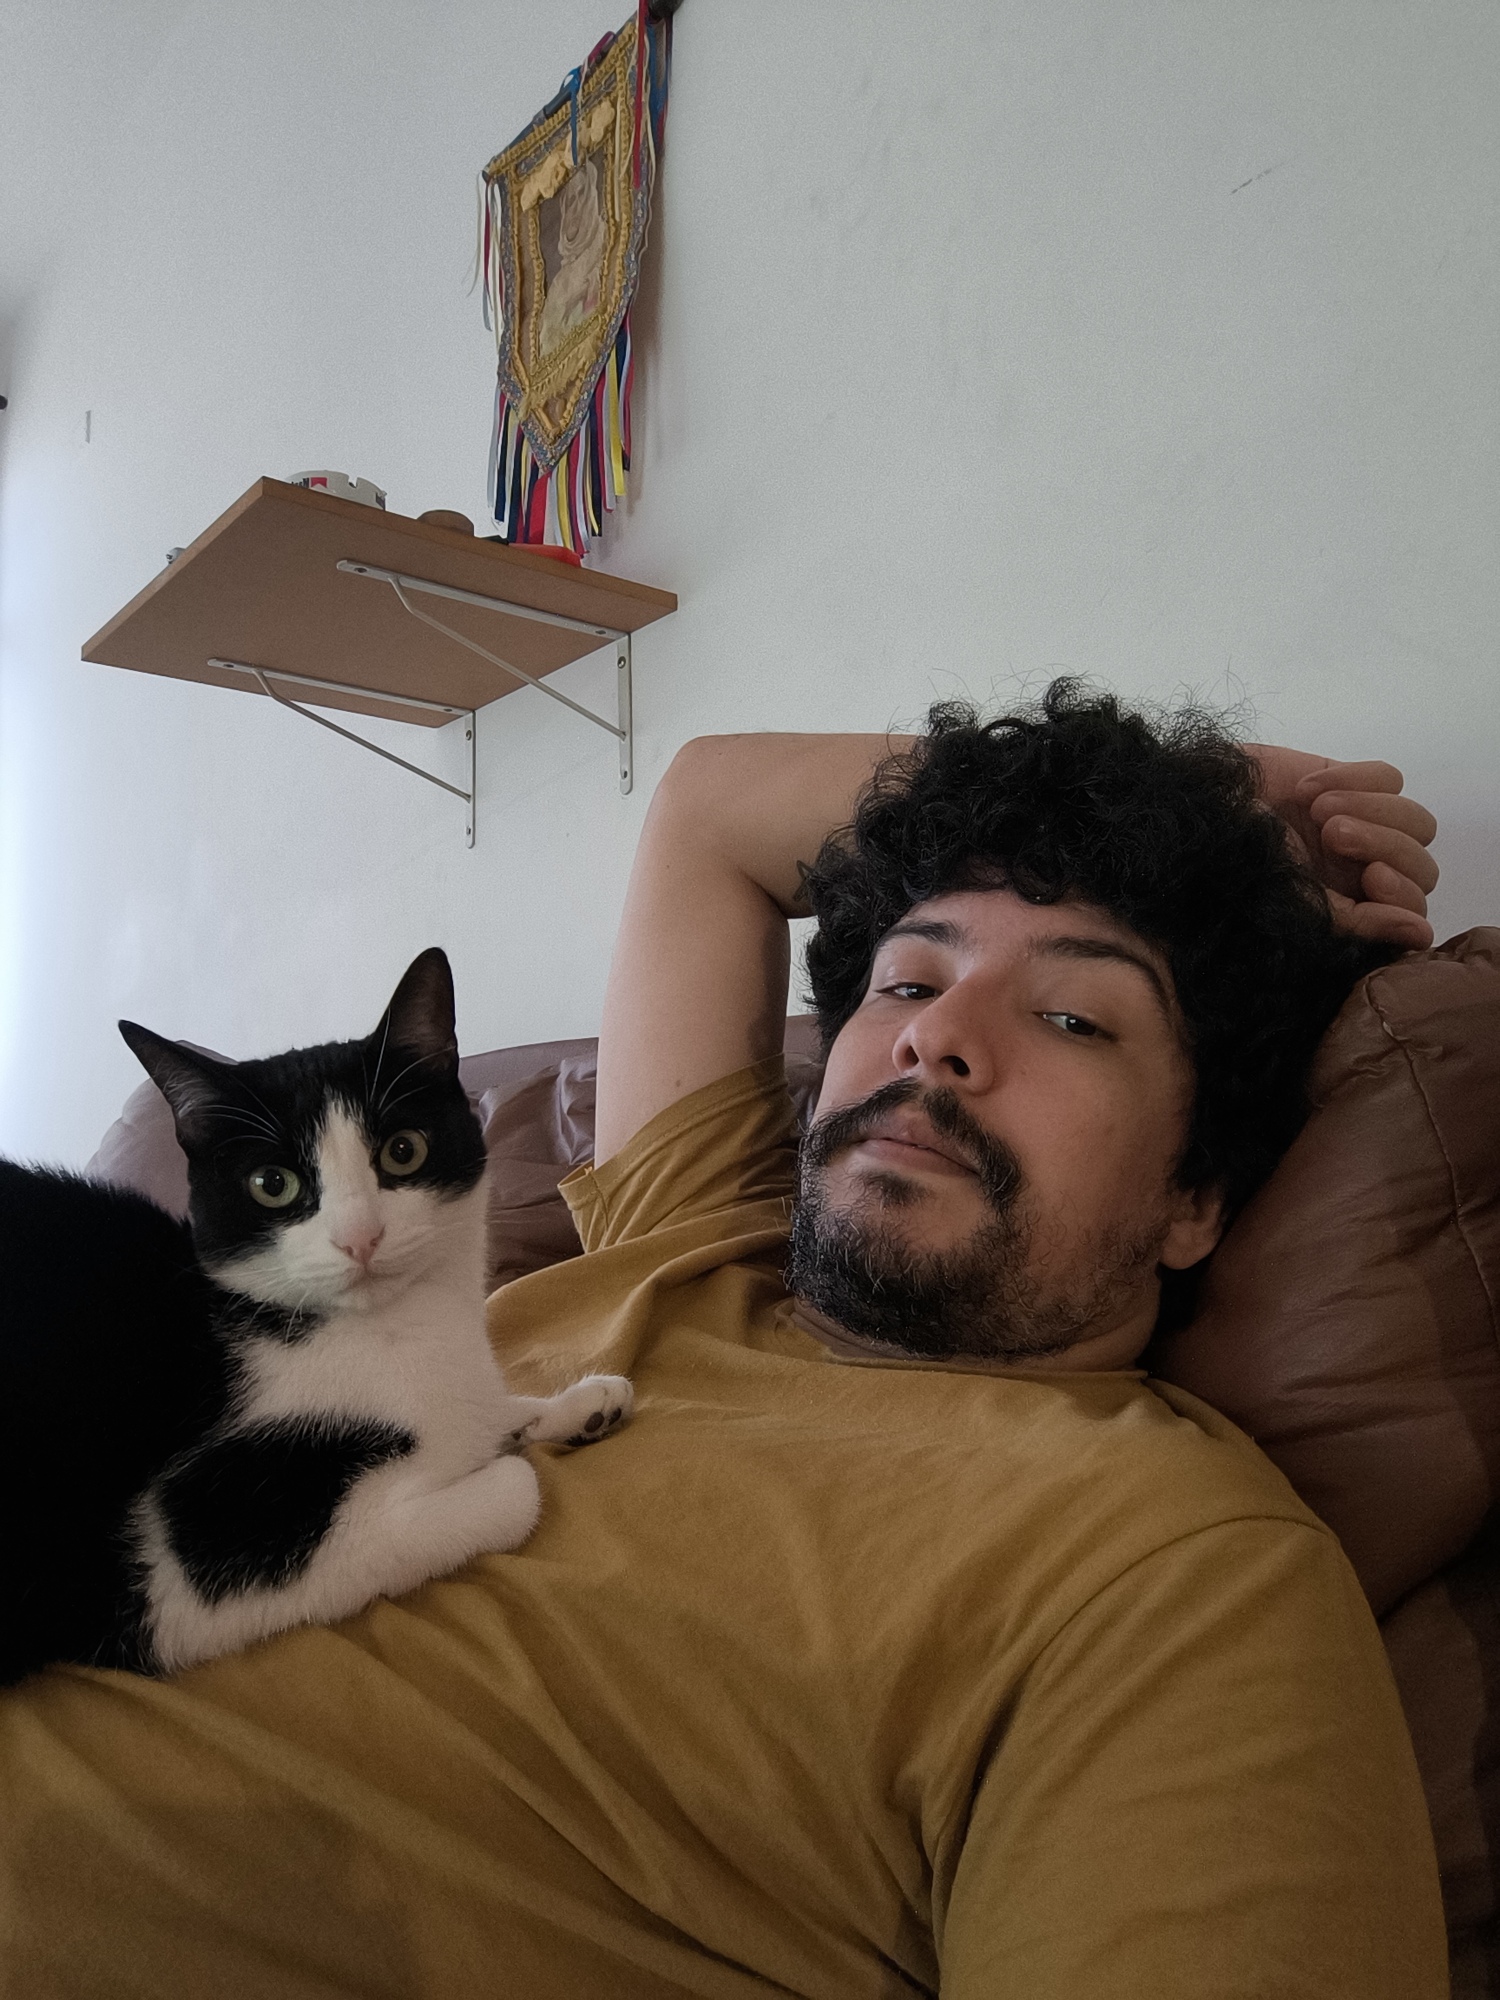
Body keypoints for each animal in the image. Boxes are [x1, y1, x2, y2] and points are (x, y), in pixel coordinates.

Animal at [0, 947, 630, 1685]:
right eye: (272, 1185)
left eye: (403, 1150)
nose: (360, 1238)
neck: (394, 1330)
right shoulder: (187, 1573)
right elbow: (514, 1485)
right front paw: (498, 1451)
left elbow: (487, 1413)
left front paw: (575, 1404)